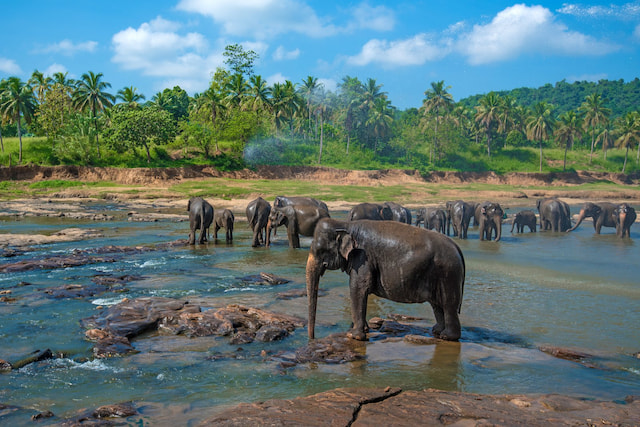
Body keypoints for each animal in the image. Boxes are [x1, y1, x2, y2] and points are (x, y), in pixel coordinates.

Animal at [306, 218, 466, 341]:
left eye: (320, 251)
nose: (312, 339)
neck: (345, 224)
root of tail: (457, 247)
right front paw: (364, 330)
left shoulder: (363, 258)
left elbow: (357, 288)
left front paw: (353, 335)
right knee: (437, 305)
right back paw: (437, 331)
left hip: (448, 273)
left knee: (448, 304)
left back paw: (447, 336)